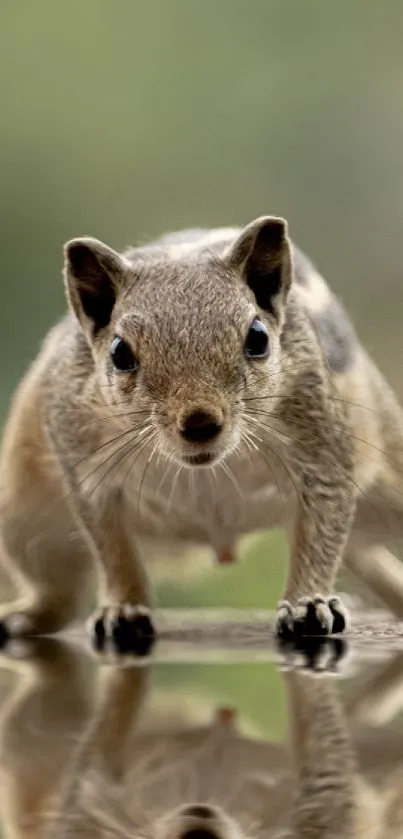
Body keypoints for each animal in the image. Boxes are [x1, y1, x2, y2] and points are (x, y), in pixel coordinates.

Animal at [0, 215, 403, 644]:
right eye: (119, 352)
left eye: (258, 337)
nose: (199, 422)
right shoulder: (86, 467)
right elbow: (113, 549)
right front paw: (124, 608)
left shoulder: (319, 443)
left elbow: (322, 527)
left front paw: (308, 604)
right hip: (27, 523)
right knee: (59, 596)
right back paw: (26, 617)